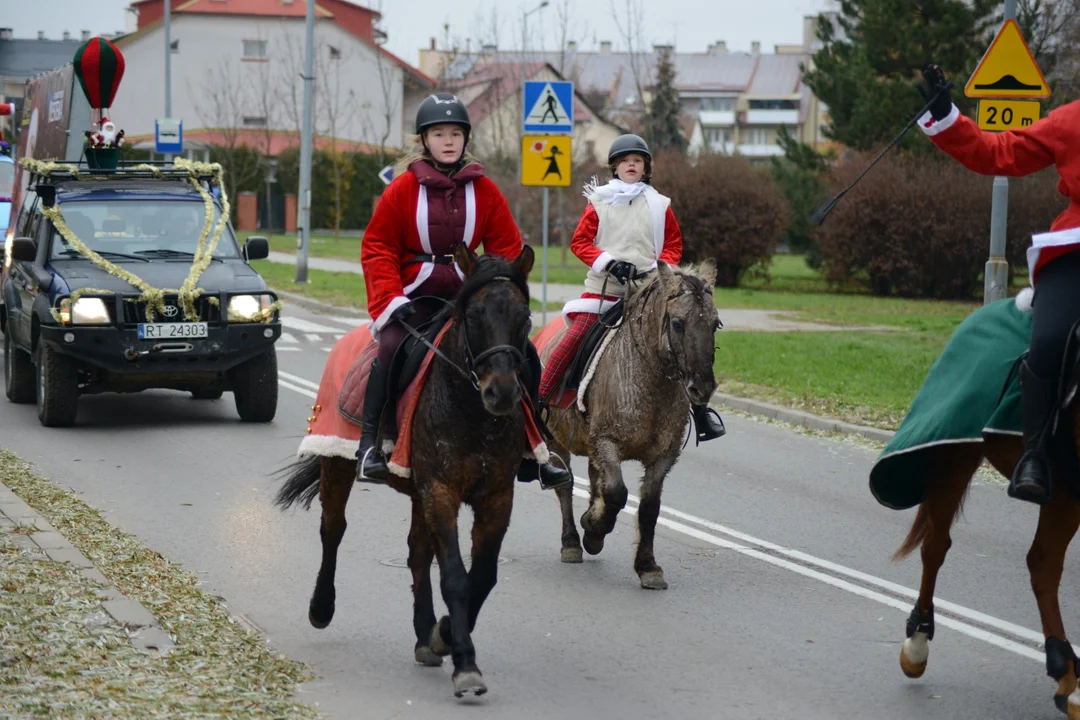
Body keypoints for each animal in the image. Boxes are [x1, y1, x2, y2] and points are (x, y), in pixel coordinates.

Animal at [274, 245, 535, 699]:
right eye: (473, 315)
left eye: (525, 316)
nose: (502, 392)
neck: (471, 411)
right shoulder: (441, 491)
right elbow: (456, 577)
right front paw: (465, 662)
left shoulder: (496, 497)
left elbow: (482, 577)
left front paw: (443, 635)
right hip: (338, 463)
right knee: (333, 529)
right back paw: (321, 606)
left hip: (418, 492)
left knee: (416, 553)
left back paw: (424, 634)